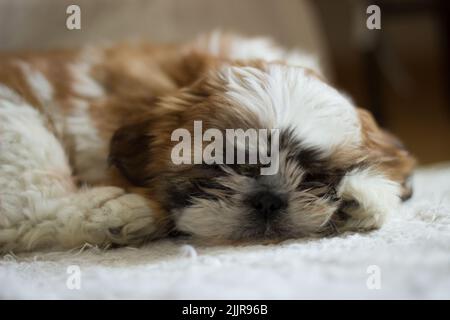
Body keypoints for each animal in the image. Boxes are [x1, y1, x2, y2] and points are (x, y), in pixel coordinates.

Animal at [0, 32, 414, 252]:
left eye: (316, 176)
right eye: (219, 165)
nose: (268, 199)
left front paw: (359, 196)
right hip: (17, 119)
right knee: (24, 211)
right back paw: (120, 213)